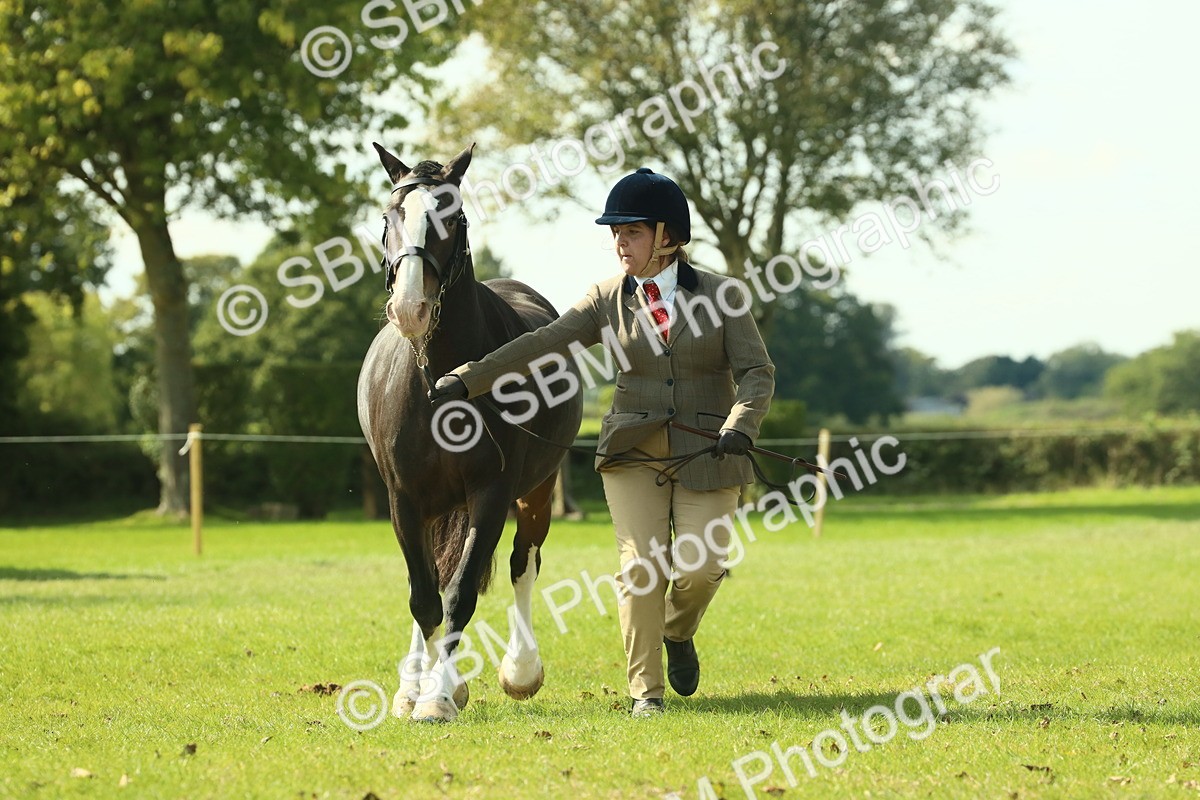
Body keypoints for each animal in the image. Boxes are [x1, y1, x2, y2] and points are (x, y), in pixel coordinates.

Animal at [357, 143, 583, 722]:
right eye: (388, 217)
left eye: (452, 218)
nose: (409, 308)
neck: (441, 380)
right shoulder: (404, 499)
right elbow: (425, 594)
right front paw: (422, 689)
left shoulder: (492, 492)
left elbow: (460, 593)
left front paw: (438, 697)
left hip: (537, 491)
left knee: (523, 562)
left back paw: (519, 670)